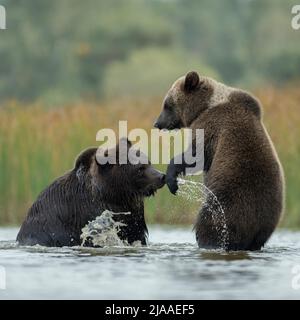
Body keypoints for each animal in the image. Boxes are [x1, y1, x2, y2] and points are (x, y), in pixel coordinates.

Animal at [155, 71, 284, 251]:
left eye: (167, 105)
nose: (158, 123)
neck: (203, 106)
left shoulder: (210, 127)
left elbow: (196, 155)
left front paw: (172, 180)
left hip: (227, 203)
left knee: (209, 224)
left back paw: (206, 242)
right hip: (267, 219)